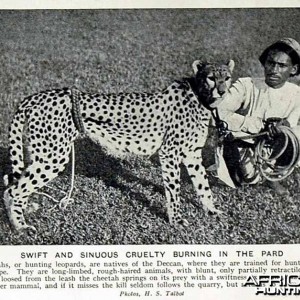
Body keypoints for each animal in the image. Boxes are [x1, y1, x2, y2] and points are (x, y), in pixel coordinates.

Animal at [3, 59, 236, 231]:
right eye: (211, 78)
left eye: (226, 78)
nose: (222, 91)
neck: (200, 96)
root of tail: (35, 97)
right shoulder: (169, 153)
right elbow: (174, 191)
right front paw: (176, 220)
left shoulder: (192, 154)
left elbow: (203, 185)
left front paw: (212, 210)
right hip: (52, 157)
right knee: (13, 190)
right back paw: (20, 227)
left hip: (40, 153)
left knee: (14, 183)